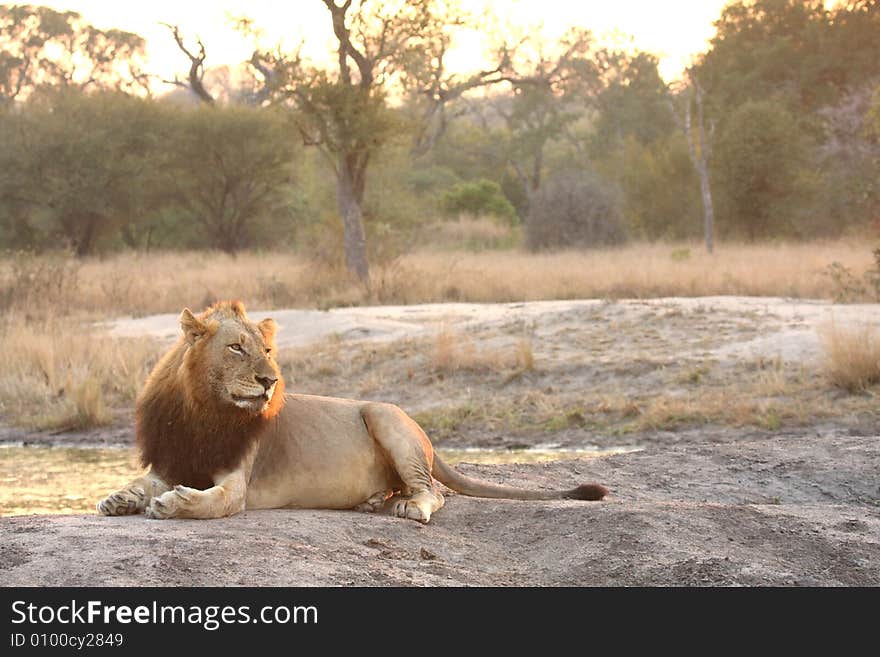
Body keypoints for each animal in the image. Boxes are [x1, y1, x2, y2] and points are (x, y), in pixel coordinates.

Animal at [94, 302, 604, 524]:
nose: (270, 381)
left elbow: (214, 500)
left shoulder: (238, 484)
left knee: (434, 493)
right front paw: (119, 498)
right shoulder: (172, 460)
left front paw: (173, 504)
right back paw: (372, 501)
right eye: (236, 348)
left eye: (267, 350)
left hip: (384, 416)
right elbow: (141, 481)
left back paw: (408, 507)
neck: (203, 411)